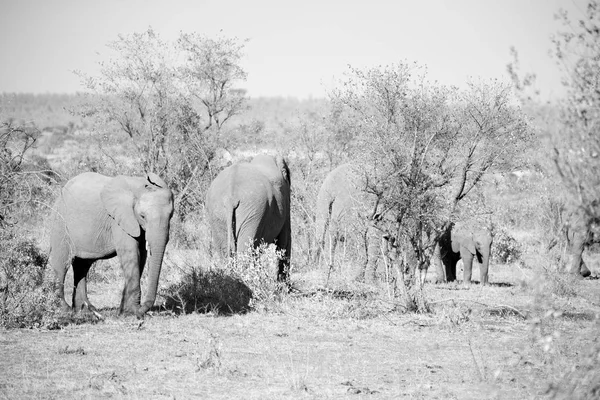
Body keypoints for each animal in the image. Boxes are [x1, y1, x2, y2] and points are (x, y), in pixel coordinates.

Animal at [49, 172, 173, 318]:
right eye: (142, 216)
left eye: (171, 215)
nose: (142, 311)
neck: (138, 187)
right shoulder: (119, 219)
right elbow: (131, 253)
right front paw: (131, 313)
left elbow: (141, 256)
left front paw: (125, 312)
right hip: (60, 223)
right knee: (61, 264)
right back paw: (65, 310)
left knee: (82, 266)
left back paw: (85, 310)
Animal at [205, 153, 292, 282]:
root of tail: (230, 196)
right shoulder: (285, 199)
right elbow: (284, 242)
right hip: (254, 210)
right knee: (246, 252)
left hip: (218, 212)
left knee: (225, 252)